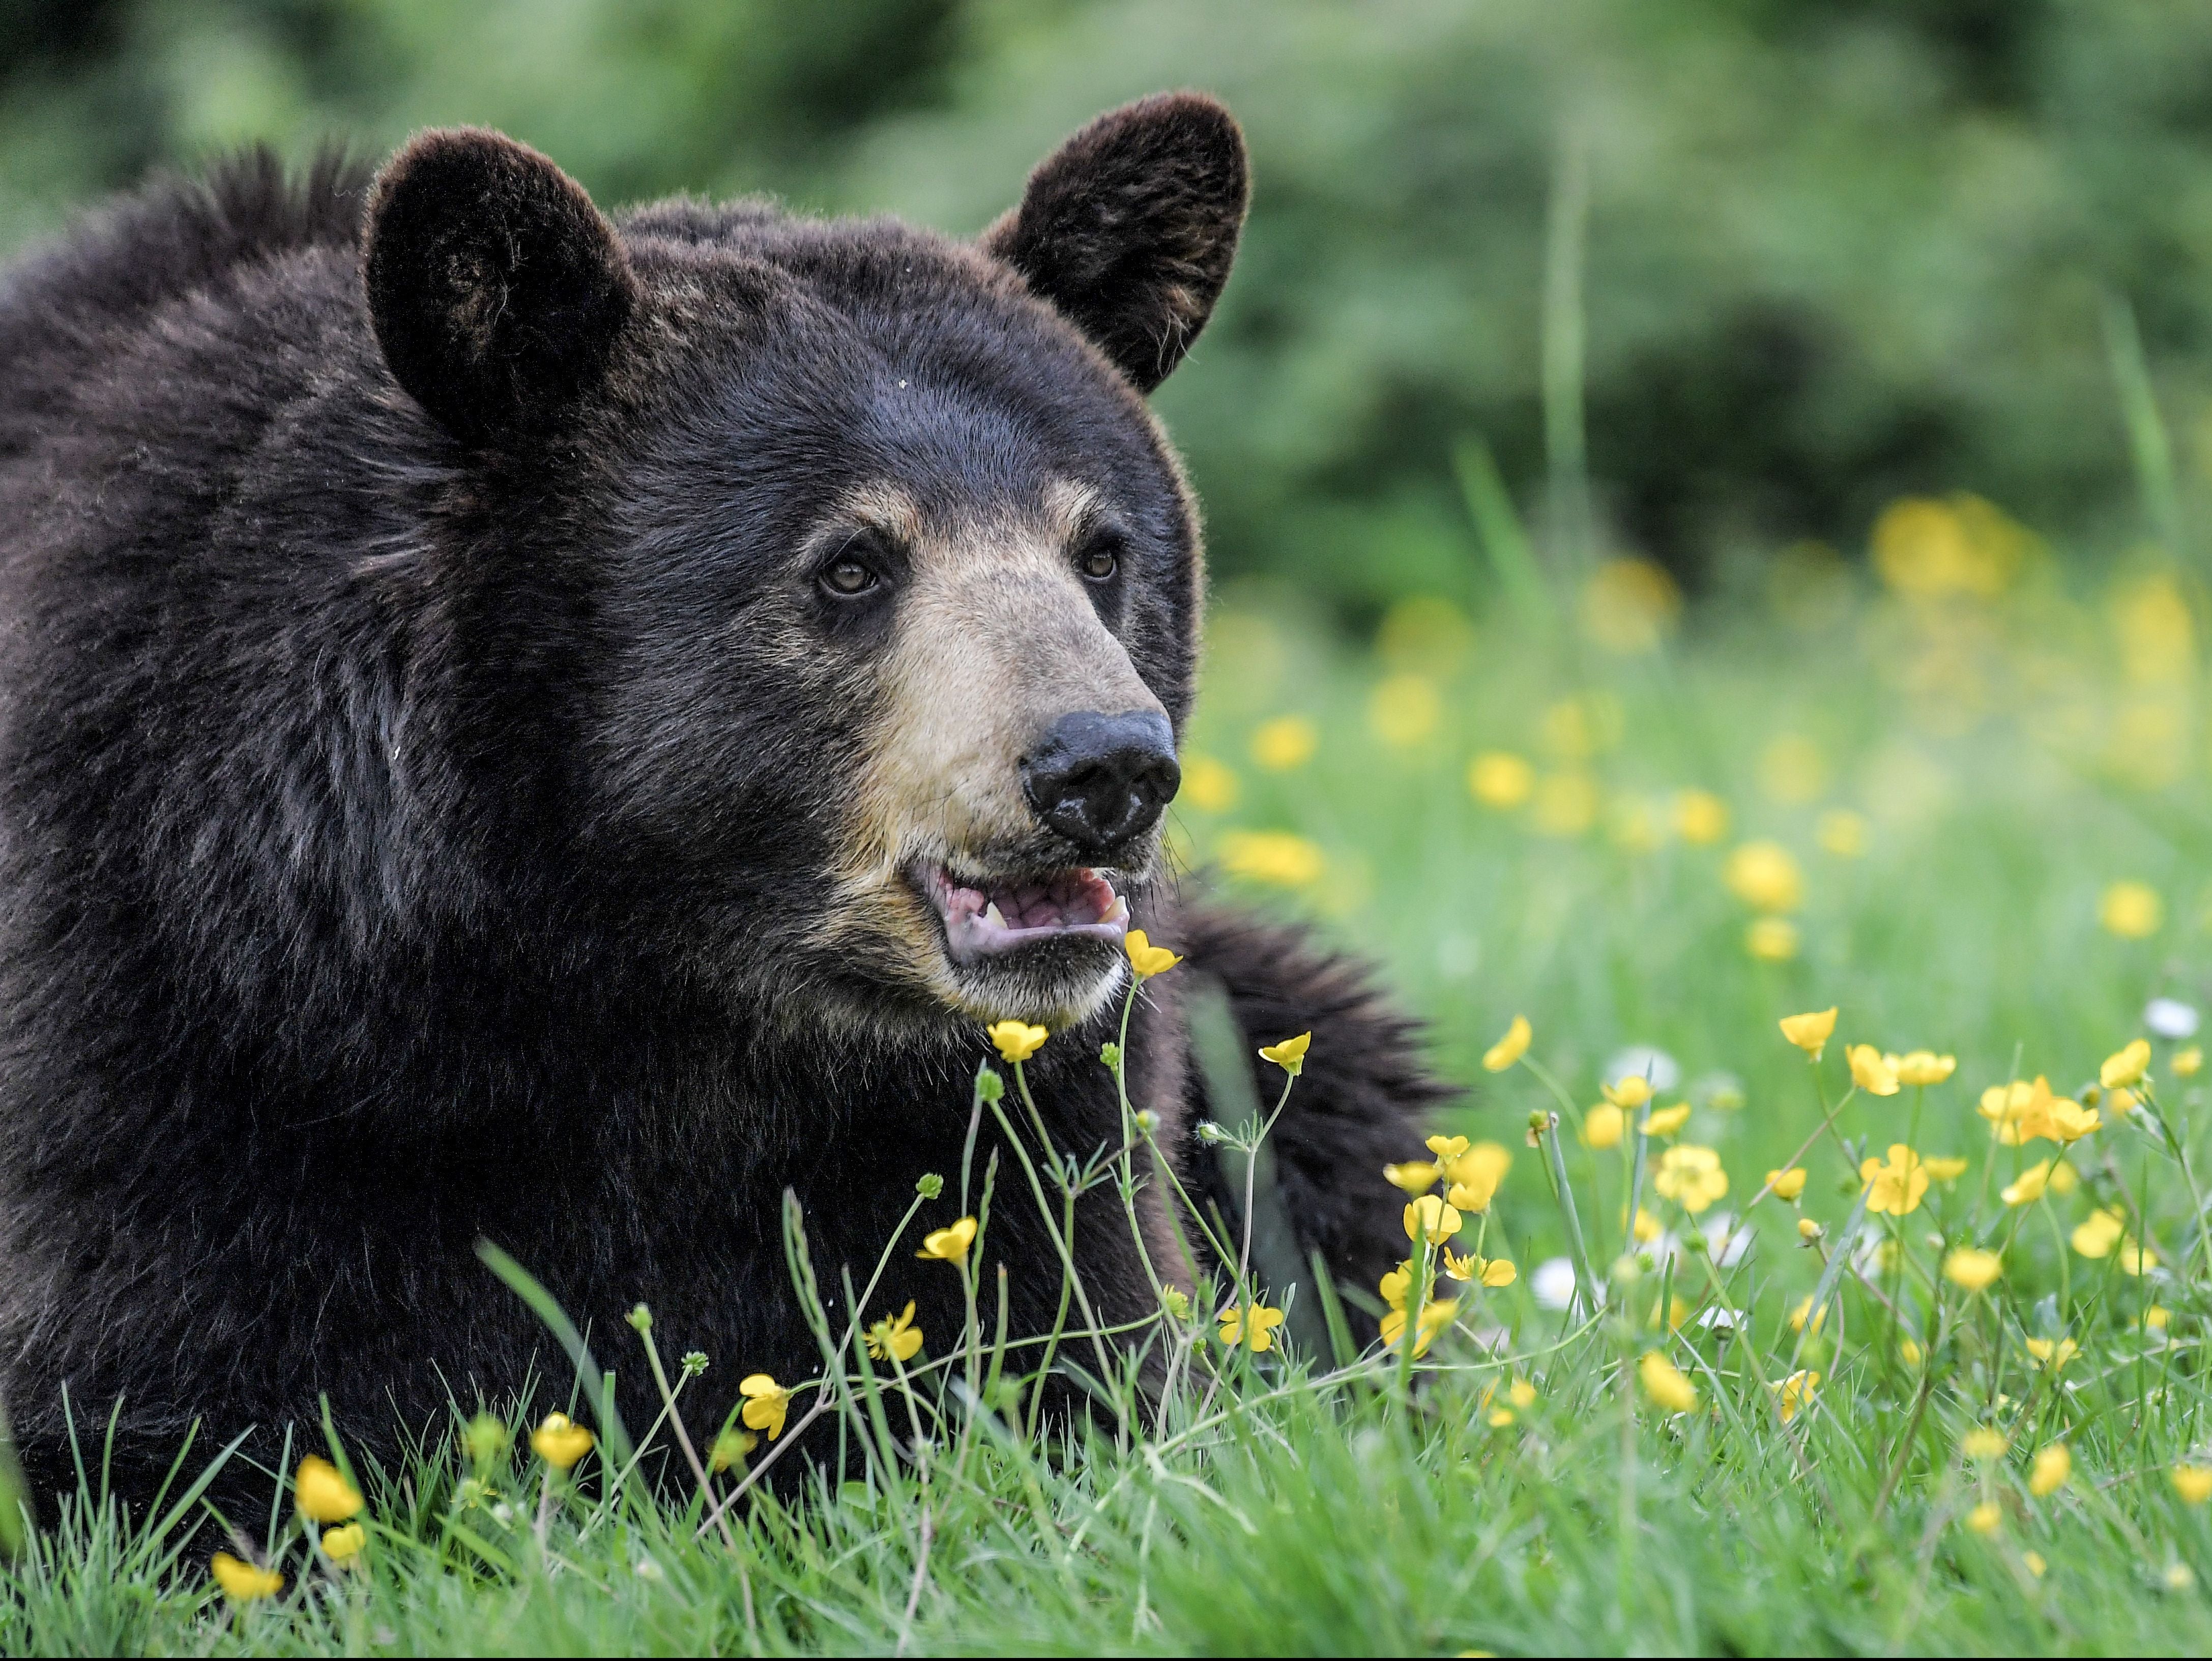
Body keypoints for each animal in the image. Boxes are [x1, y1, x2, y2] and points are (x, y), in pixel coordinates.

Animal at [0, 91, 1451, 1512]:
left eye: (1100, 551)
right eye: (851, 564)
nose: (1103, 765)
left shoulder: (1036, 1113)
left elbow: (1066, 1354)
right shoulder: (182, 1049)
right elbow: (172, 1414)